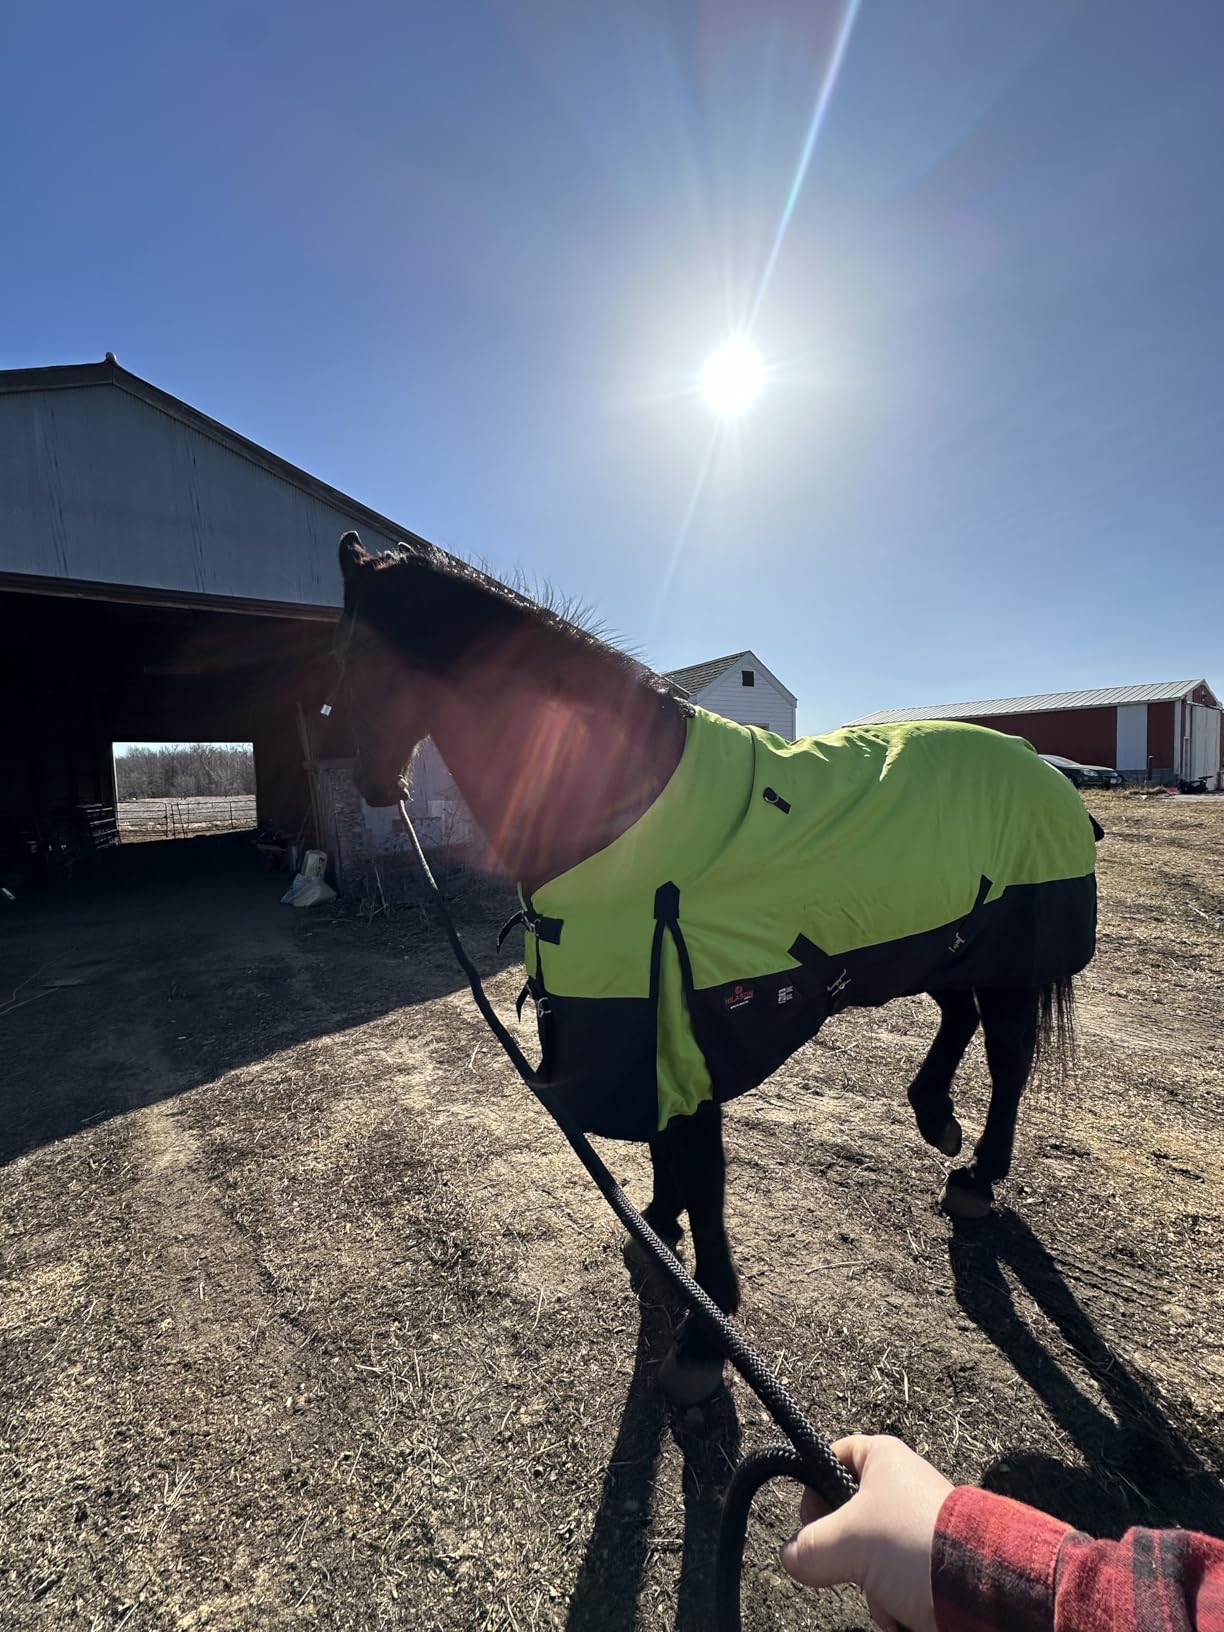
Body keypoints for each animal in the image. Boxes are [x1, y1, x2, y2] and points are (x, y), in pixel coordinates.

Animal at [333, 530, 1099, 1403]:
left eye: (351, 655)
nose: (362, 778)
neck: (621, 815)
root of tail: (1042, 764)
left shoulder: (681, 1023)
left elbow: (701, 1173)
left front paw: (706, 1329)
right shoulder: (641, 1028)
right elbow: (666, 1155)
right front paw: (658, 1229)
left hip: (1006, 955)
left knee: (1007, 1055)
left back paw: (978, 1175)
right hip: (941, 940)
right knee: (960, 1017)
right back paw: (934, 1114)